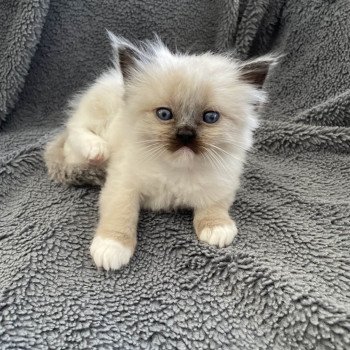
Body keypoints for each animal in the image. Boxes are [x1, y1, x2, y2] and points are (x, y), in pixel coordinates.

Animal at [43, 31, 276, 270]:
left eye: (210, 117)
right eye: (164, 114)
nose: (185, 134)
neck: (176, 170)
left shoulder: (221, 185)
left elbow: (214, 207)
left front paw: (217, 228)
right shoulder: (123, 185)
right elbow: (120, 214)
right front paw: (111, 249)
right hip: (98, 121)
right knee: (75, 130)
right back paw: (96, 150)